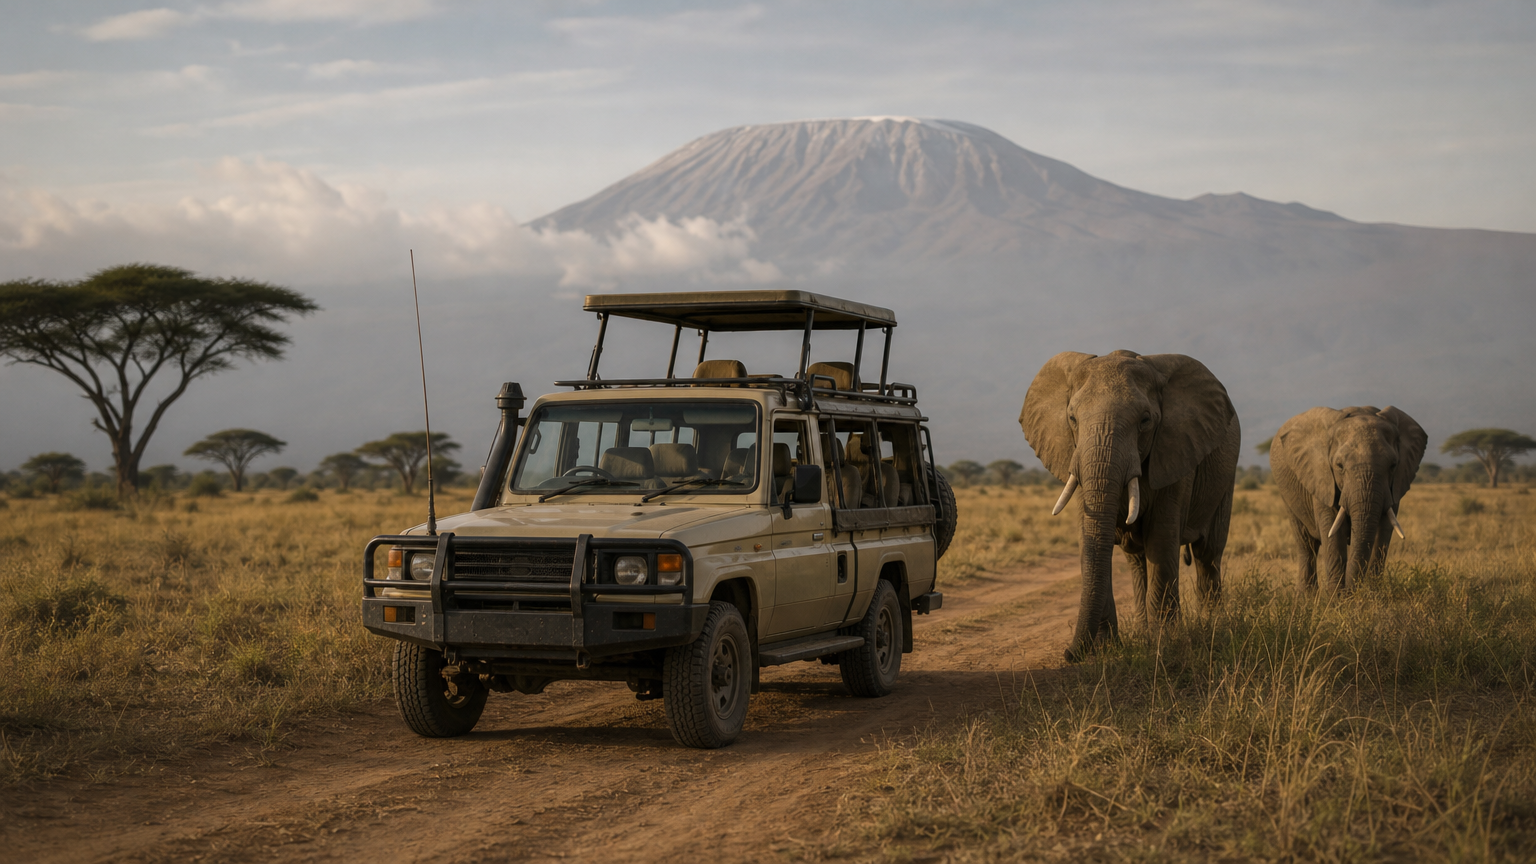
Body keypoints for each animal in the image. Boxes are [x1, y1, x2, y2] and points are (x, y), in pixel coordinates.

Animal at [1020, 350, 1241, 662]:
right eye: (1072, 418)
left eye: (1145, 420)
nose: (1068, 654)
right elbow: (1089, 541)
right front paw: (1106, 650)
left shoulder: (1175, 452)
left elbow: (1161, 541)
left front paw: (1166, 647)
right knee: (1136, 560)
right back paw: (1142, 635)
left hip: (1226, 476)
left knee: (1207, 554)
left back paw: (1211, 628)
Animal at [1268, 406, 1426, 592]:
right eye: (1339, 466)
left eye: (1393, 465)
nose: (1353, 591)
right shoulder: (1322, 478)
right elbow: (1332, 531)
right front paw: (1336, 598)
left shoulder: (1395, 487)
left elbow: (1384, 531)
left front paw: (1374, 594)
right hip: (1287, 494)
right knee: (1307, 545)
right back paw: (1306, 597)